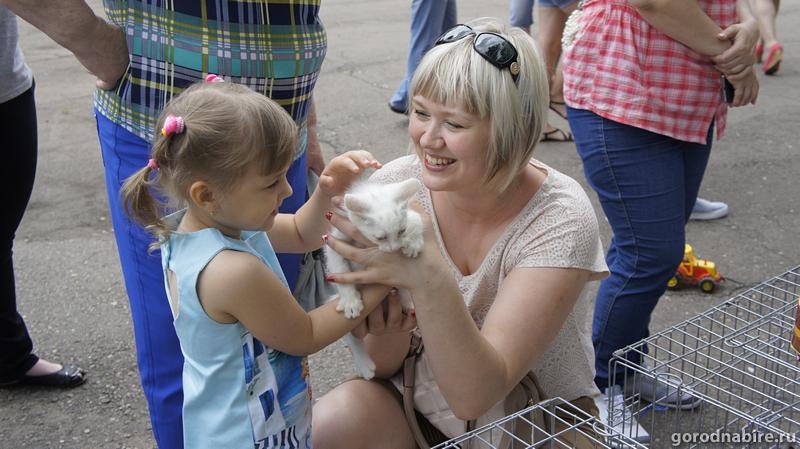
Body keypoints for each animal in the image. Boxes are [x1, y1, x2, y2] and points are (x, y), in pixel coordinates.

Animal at [324, 178, 424, 378]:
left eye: (401, 231)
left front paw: (414, 243)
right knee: (352, 337)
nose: (394, 249)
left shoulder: (410, 214)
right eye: (380, 237)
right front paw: (350, 301)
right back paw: (364, 364)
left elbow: (416, 219)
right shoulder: (335, 241)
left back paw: (408, 302)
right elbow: (340, 270)